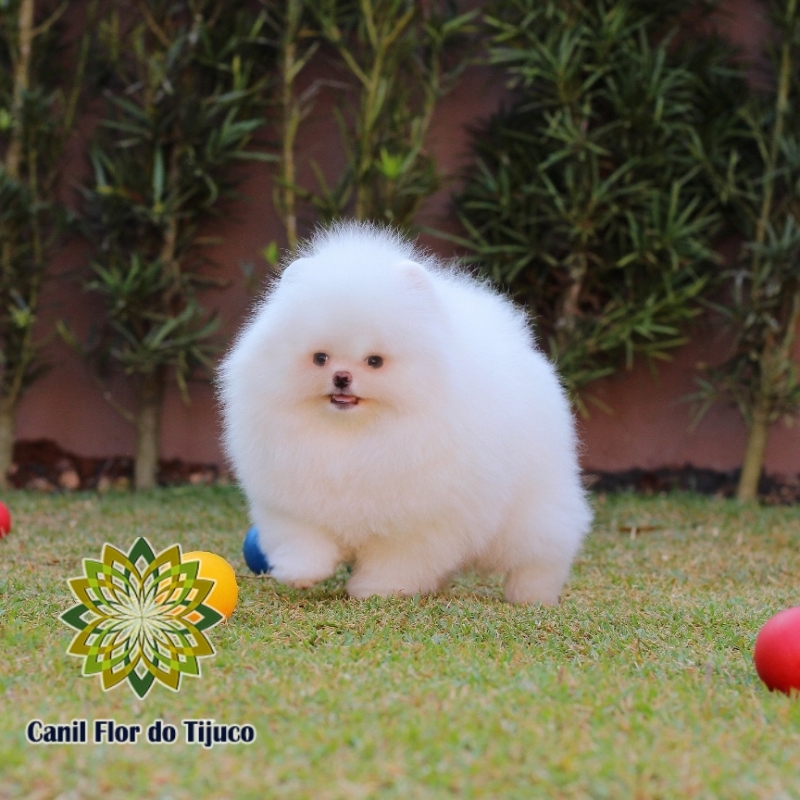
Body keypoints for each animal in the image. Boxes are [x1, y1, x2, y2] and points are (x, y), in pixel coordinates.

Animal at [220, 222, 592, 604]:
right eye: (320, 358)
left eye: (375, 361)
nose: (341, 378)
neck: (350, 435)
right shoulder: (293, 501)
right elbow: (304, 540)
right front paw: (300, 573)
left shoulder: (415, 522)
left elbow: (395, 561)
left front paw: (376, 590)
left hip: (533, 507)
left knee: (542, 553)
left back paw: (532, 596)